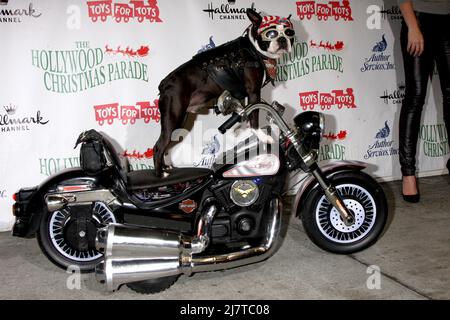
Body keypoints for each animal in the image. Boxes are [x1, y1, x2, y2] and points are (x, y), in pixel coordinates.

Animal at [155, 8, 296, 178]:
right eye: (271, 33)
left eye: (289, 33)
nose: (282, 39)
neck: (253, 49)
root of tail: (165, 83)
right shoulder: (254, 91)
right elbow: (255, 118)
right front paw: (262, 137)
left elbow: (247, 116)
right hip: (173, 116)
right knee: (159, 146)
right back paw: (159, 174)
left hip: (179, 119)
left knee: (164, 145)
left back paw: (165, 168)